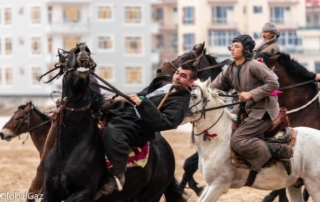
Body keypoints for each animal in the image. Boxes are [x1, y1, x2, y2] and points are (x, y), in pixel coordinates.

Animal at [43, 41, 186, 201]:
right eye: (67, 57)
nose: (82, 48)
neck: (68, 149)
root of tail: (166, 149)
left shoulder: (84, 191)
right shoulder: (49, 193)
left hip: (150, 195)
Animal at [181, 78, 320, 202]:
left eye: (194, 95)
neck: (219, 138)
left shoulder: (218, 185)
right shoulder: (210, 185)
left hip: (314, 186)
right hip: (294, 185)